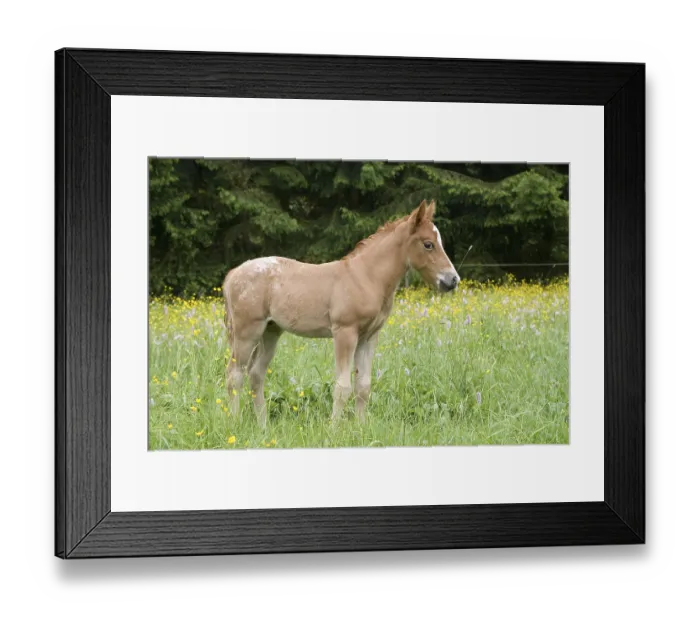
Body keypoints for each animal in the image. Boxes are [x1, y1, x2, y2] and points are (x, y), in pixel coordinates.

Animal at [222, 199, 460, 427]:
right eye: (428, 244)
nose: (452, 280)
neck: (366, 277)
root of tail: (233, 274)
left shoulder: (368, 337)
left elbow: (363, 386)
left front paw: (360, 428)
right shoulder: (345, 333)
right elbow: (343, 387)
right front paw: (334, 430)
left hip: (270, 331)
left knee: (256, 374)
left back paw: (263, 426)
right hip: (247, 332)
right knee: (234, 375)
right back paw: (235, 423)